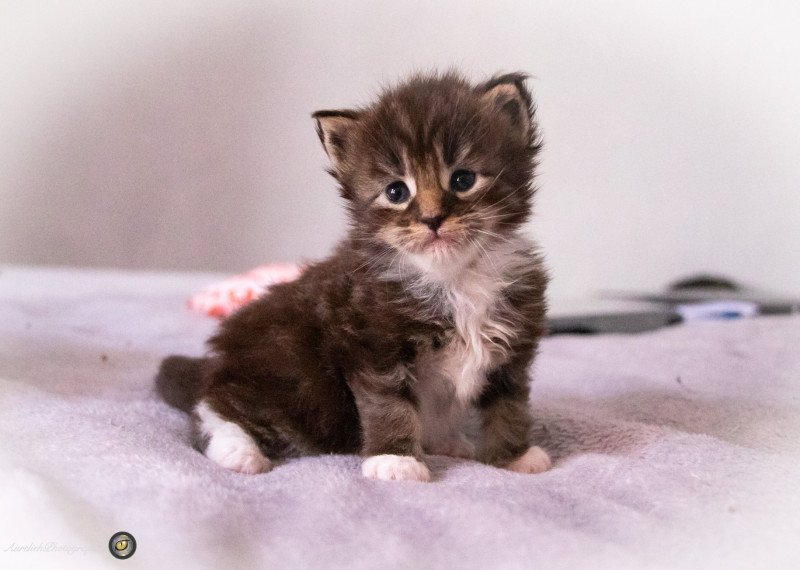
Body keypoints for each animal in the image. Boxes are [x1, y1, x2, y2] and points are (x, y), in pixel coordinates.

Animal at [159, 70, 552, 480]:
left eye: (462, 180)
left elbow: (509, 406)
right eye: (396, 191)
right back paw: (238, 451)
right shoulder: (374, 345)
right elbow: (390, 406)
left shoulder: (513, 348)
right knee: (215, 407)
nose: (432, 219)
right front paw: (396, 459)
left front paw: (513, 456)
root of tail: (217, 363)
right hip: (295, 384)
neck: (452, 278)